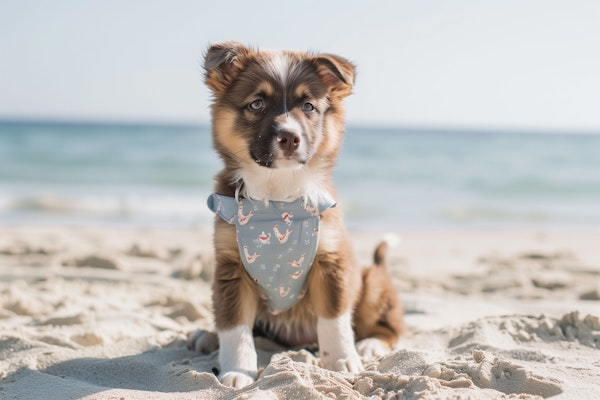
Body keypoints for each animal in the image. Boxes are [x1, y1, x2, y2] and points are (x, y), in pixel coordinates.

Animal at [190, 41, 406, 388]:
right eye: (257, 104)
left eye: (308, 106)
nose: (290, 137)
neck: (278, 199)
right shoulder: (230, 267)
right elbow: (234, 327)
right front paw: (237, 370)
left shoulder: (332, 260)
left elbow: (333, 319)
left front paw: (342, 361)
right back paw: (206, 336)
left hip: (371, 282)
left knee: (391, 327)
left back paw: (370, 344)